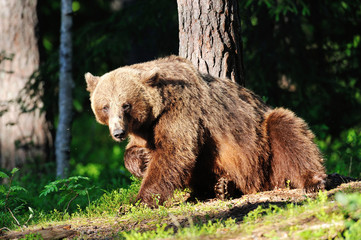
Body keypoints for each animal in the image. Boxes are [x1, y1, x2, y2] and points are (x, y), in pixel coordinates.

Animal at [85, 55, 326, 207]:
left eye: (125, 105)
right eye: (105, 106)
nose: (117, 132)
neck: (157, 111)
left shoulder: (181, 110)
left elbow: (174, 153)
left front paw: (137, 201)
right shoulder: (144, 128)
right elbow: (138, 150)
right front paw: (140, 160)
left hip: (263, 148)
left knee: (287, 129)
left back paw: (313, 181)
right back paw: (221, 187)